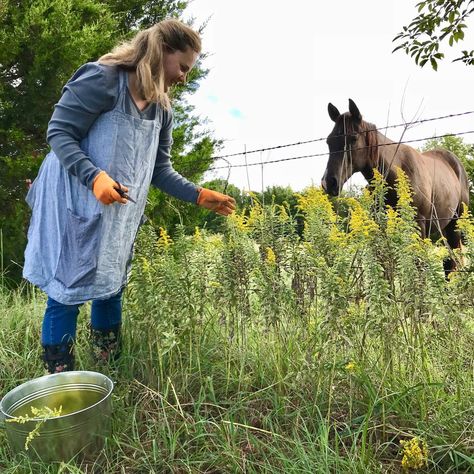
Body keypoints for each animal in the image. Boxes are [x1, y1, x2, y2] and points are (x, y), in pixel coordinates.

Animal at [320, 98, 468, 274]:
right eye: (328, 141)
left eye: (353, 138)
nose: (329, 182)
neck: (396, 173)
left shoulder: (419, 225)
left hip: (455, 224)